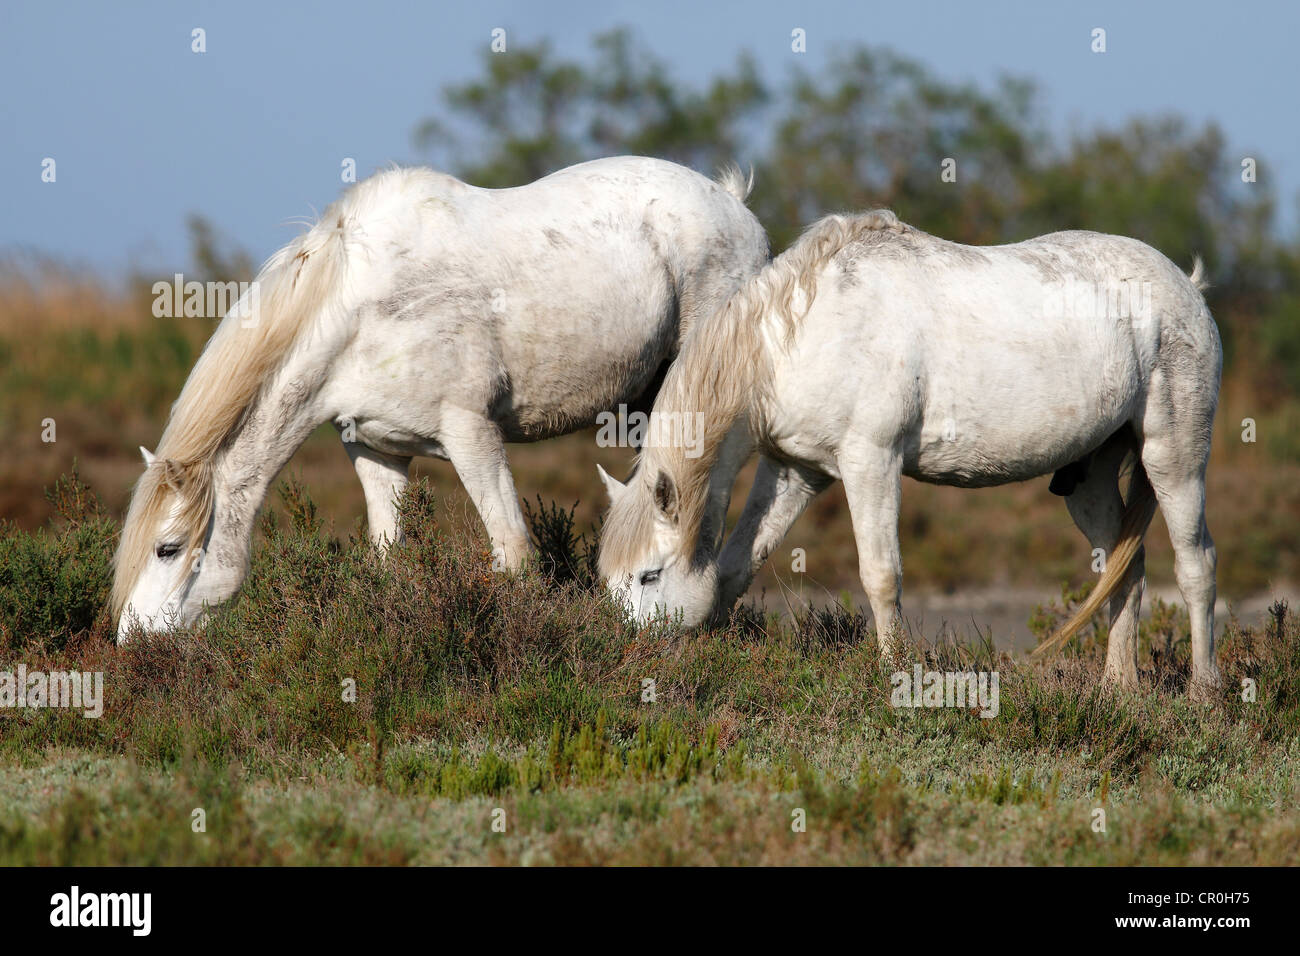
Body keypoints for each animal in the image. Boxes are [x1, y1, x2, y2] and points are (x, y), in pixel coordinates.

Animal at [114, 157, 769, 642]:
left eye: (167, 548)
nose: (133, 643)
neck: (361, 309)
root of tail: (734, 204)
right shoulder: (376, 451)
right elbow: (387, 559)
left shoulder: (471, 434)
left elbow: (515, 558)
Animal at [595, 210, 1222, 697]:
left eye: (649, 576)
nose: (631, 660)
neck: (800, 334)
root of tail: (1187, 287)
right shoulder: (796, 472)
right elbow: (734, 566)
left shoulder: (871, 462)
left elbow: (880, 575)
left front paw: (894, 674)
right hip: (1089, 477)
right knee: (1125, 566)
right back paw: (1121, 687)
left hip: (1175, 457)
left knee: (1196, 564)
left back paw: (1205, 691)